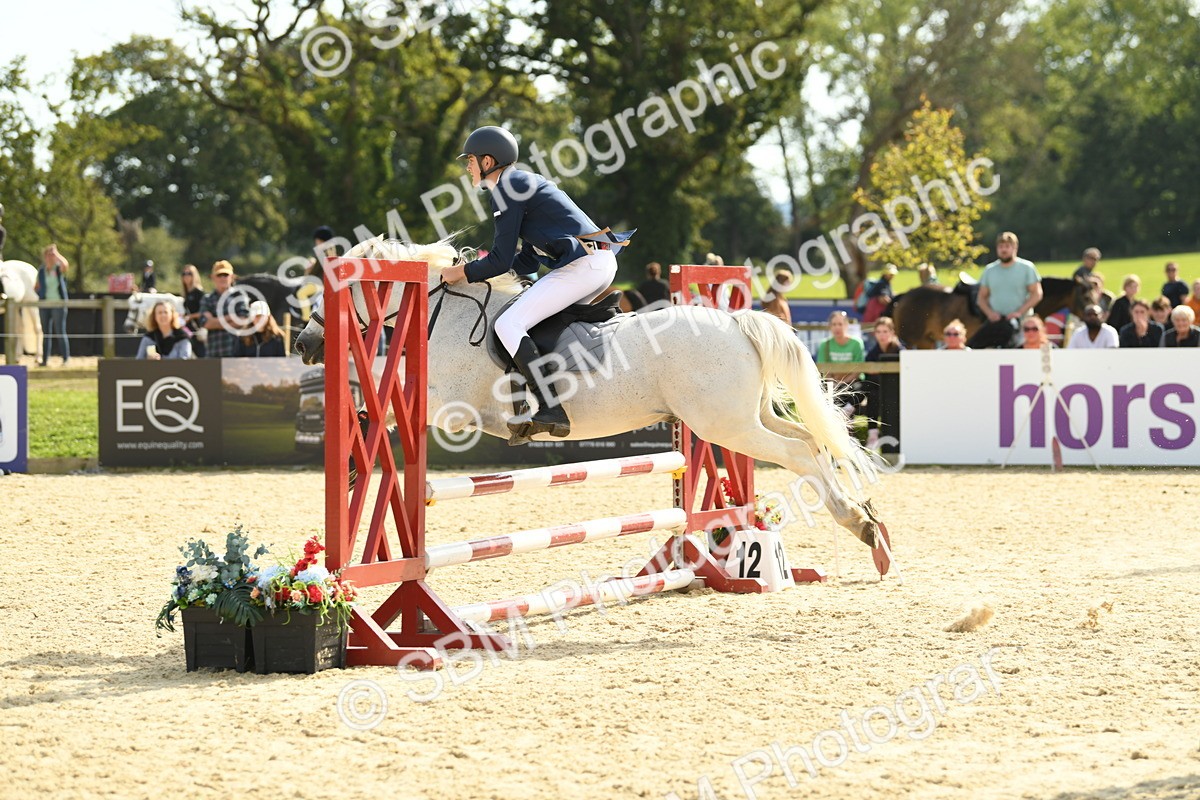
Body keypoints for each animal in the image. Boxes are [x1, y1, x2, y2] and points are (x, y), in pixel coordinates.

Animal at [293, 238, 886, 550]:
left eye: (337, 289)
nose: (303, 343)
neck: (446, 314)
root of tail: (737, 321)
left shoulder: (450, 408)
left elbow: (385, 413)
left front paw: (353, 461)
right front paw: (353, 463)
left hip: (725, 424)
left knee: (796, 453)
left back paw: (857, 523)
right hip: (745, 415)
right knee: (810, 441)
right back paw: (867, 520)